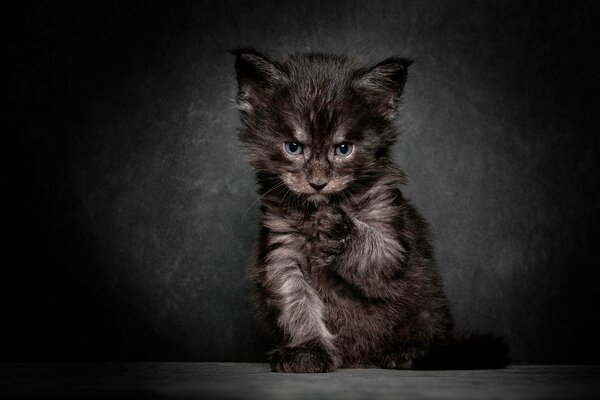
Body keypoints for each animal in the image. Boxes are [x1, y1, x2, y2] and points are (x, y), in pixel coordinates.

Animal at [232, 49, 508, 372]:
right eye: (293, 147)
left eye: (343, 149)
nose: (318, 182)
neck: (315, 209)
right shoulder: (283, 251)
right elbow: (298, 305)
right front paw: (307, 351)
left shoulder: (389, 232)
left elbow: (375, 249)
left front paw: (337, 227)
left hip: (428, 307)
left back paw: (408, 351)